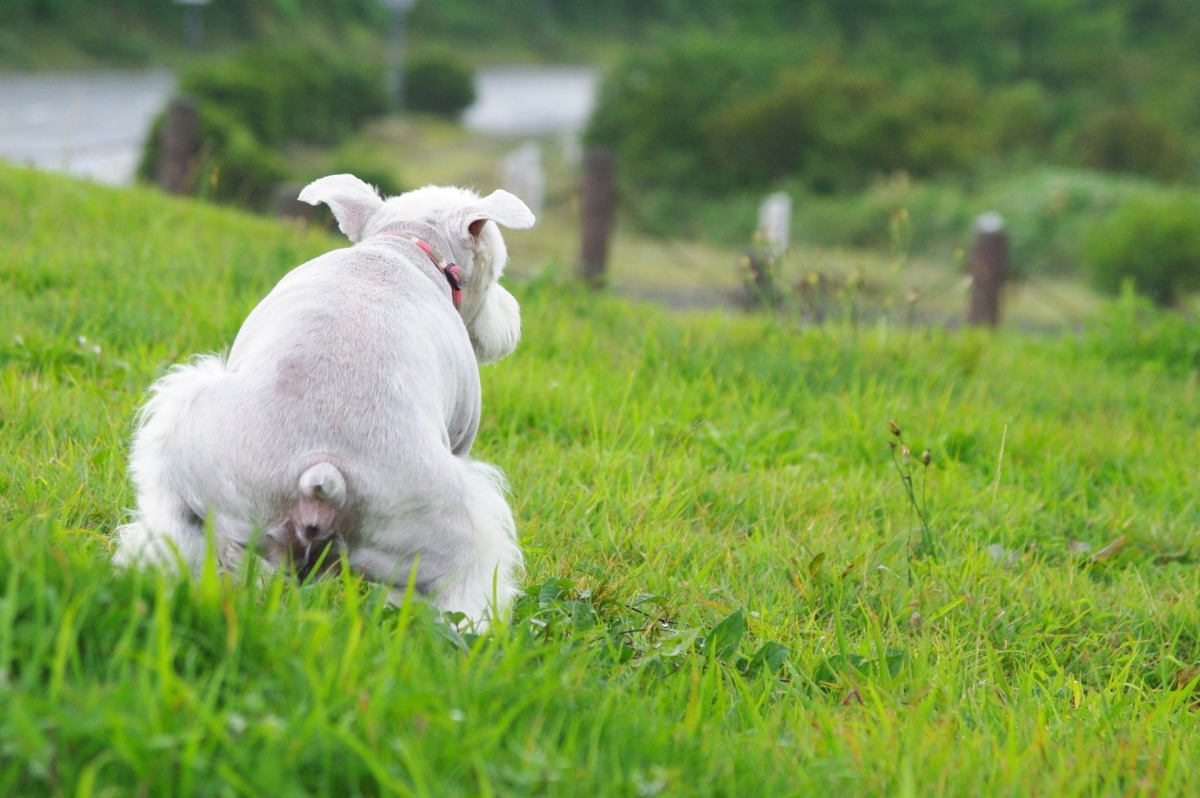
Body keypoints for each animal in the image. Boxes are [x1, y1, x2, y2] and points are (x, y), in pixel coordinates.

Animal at [114, 172, 537, 624]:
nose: (512, 320)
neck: (406, 246)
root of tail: (322, 473)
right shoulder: (462, 437)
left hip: (197, 497)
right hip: (459, 543)